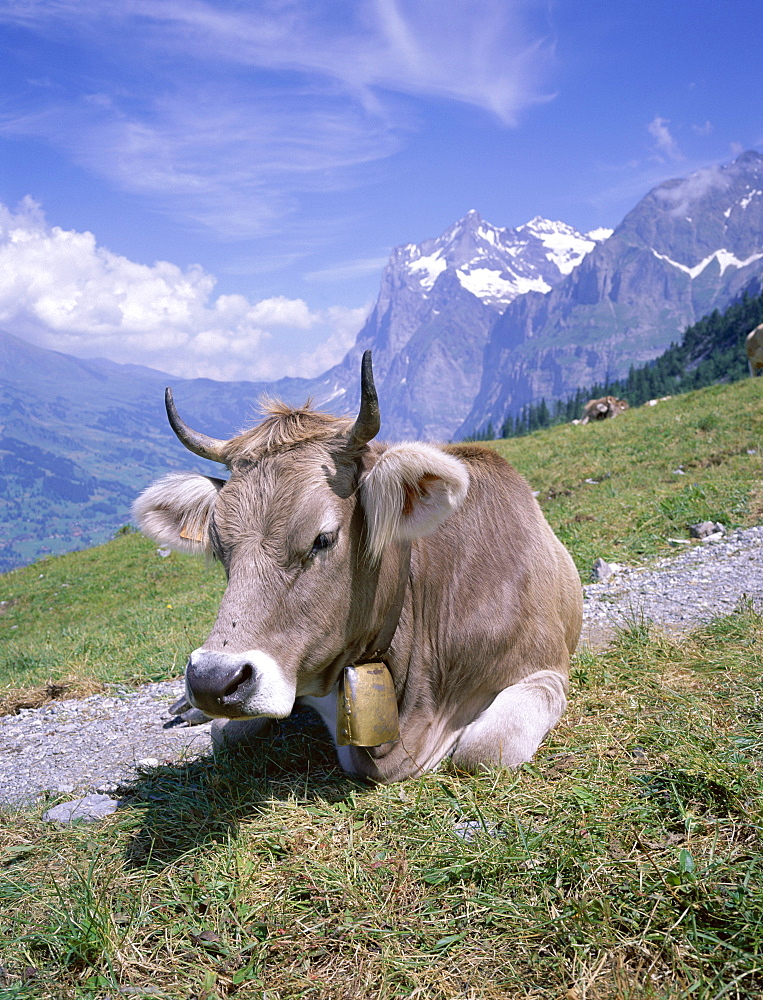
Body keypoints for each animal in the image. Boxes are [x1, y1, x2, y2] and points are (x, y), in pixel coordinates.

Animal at [133, 352, 584, 780]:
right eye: (219, 547)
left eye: (323, 539)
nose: (210, 680)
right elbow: (226, 734)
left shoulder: (544, 670)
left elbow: (487, 749)